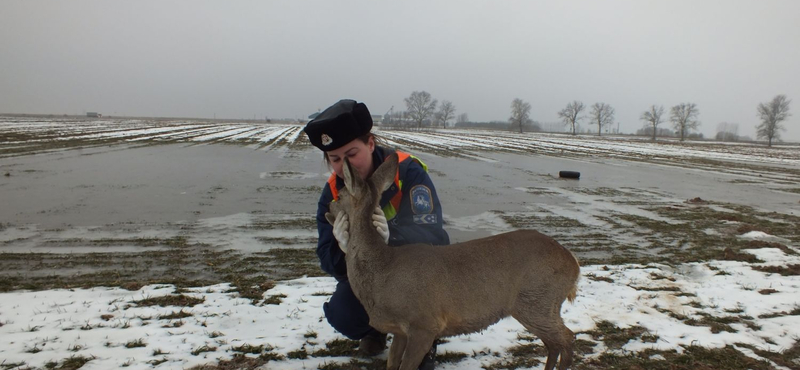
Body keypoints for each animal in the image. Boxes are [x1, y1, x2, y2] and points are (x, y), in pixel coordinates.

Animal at [324, 153, 580, 370]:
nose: (328, 206)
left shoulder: (424, 323)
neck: (382, 273)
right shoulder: (400, 330)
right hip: (538, 303)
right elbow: (392, 363)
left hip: (537, 300)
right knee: (553, 343)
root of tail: (574, 264)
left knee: (567, 338)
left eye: (341, 194)